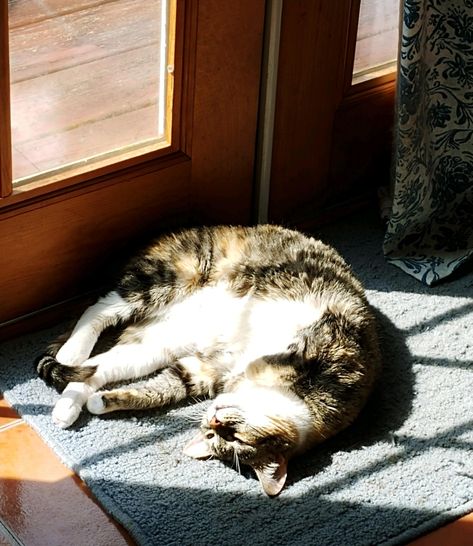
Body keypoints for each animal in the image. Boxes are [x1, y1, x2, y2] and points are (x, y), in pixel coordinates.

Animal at [35, 223, 380, 496]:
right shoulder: (321, 343)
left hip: (156, 343)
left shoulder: (199, 371)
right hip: (170, 277)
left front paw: (103, 402)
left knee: (98, 368)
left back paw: (67, 408)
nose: (214, 417)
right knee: (98, 309)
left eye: (224, 437)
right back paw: (72, 351)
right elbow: (273, 356)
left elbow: (157, 391)